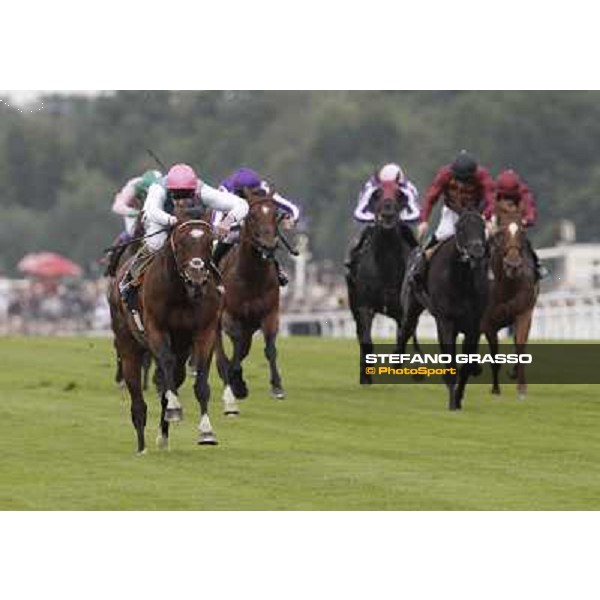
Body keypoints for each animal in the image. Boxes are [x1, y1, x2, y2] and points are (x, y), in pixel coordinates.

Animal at [107, 218, 220, 452]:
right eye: (181, 242)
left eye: (208, 242)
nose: (196, 280)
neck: (182, 295)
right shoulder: (155, 328)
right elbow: (166, 362)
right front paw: (175, 408)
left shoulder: (206, 332)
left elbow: (201, 382)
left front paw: (206, 430)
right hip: (127, 341)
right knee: (137, 395)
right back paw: (141, 445)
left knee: (173, 379)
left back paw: (163, 436)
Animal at [213, 185, 284, 414]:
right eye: (252, 216)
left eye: (275, 214)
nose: (269, 245)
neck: (251, 277)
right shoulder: (230, 315)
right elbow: (235, 346)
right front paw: (236, 382)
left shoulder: (270, 314)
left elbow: (270, 347)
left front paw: (277, 386)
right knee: (220, 347)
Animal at [344, 180, 420, 384]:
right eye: (376, 194)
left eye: (399, 194)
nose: (387, 212)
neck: (386, 266)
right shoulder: (364, 306)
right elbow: (366, 341)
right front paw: (365, 376)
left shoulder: (404, 309)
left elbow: (402, 339)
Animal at [398, 209, 488, 410]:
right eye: (461, 228)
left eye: (483, 226)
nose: (477, 252)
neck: (461, 280)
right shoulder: (446, 321)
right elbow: (450, 362)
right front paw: (453, 402)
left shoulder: (473, 324)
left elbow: (467, 363)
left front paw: (459, 396)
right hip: (411, 307)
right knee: (405, 329)